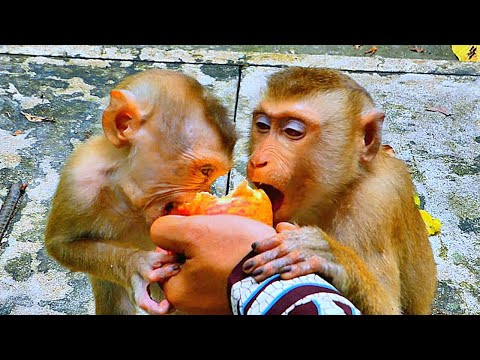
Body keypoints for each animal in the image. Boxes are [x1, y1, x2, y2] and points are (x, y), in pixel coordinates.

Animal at [45, 68, 236, 316]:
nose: (207, 192)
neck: (127, 189)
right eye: (205, 171)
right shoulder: (78, 182)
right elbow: (61, 245)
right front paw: (135, 264)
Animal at [246, 67, 436, 316]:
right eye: (263, 125)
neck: (340, 189)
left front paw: (325, 252)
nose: (257, 161)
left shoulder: (374, 205)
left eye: (292, 131)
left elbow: (389, 309)